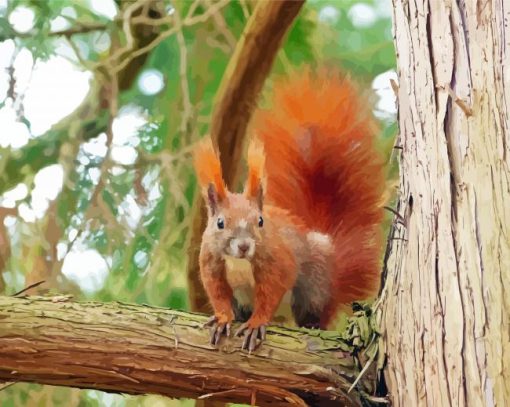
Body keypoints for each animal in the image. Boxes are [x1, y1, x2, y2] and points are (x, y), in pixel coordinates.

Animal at [193, 68, 384, 352]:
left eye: (260, 221)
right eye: (220, 223)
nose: (244, 246)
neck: (239, 262)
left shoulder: (277, 262)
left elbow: (270, 294)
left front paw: (256, 323)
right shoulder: (211, 264)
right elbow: (217, 294)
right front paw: (223, 318)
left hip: (314, 284)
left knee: (314, 313)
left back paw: (312, 324)